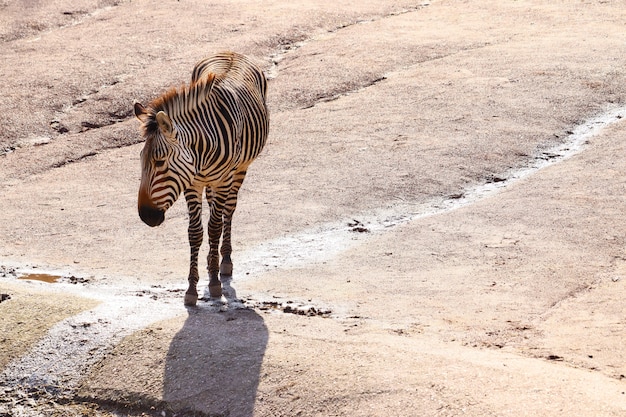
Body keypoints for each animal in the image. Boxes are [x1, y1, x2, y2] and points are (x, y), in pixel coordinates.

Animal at [132, 52, 268, 306]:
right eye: (140, 160)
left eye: (160, 162)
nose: (146, 217)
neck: (201, 151)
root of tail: (231, 52)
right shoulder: (191, 184)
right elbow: (195, 232)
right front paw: (192, 288)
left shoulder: (223, 180)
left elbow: (214, 227)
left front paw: (214, 282)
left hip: (239, 171)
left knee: (228, 211)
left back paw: (224, 261)